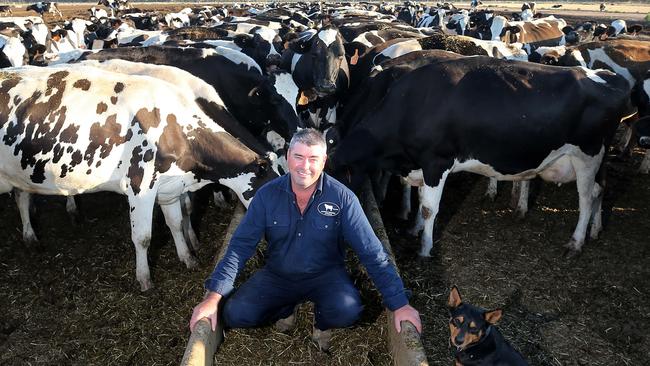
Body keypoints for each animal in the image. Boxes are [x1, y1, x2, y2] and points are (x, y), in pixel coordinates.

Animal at [0, 64, 276, 290]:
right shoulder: (140, 186)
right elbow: (143, 237)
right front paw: (144, 279)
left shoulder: (170, 188)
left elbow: (176, 223)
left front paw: (188, 258)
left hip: (19, 170)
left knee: (22, 196)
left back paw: (31, 237)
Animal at [326, 56, 632, 258]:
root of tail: (608, 77)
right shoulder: (420, 166)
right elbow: (420, 199)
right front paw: (414, 229)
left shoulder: (436, 162)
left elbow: (429, 207)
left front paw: (425, 248)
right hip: (598, 158)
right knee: (600, 190)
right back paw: (595, 230)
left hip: (588, 155)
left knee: (586, 198)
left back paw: (576, 242)